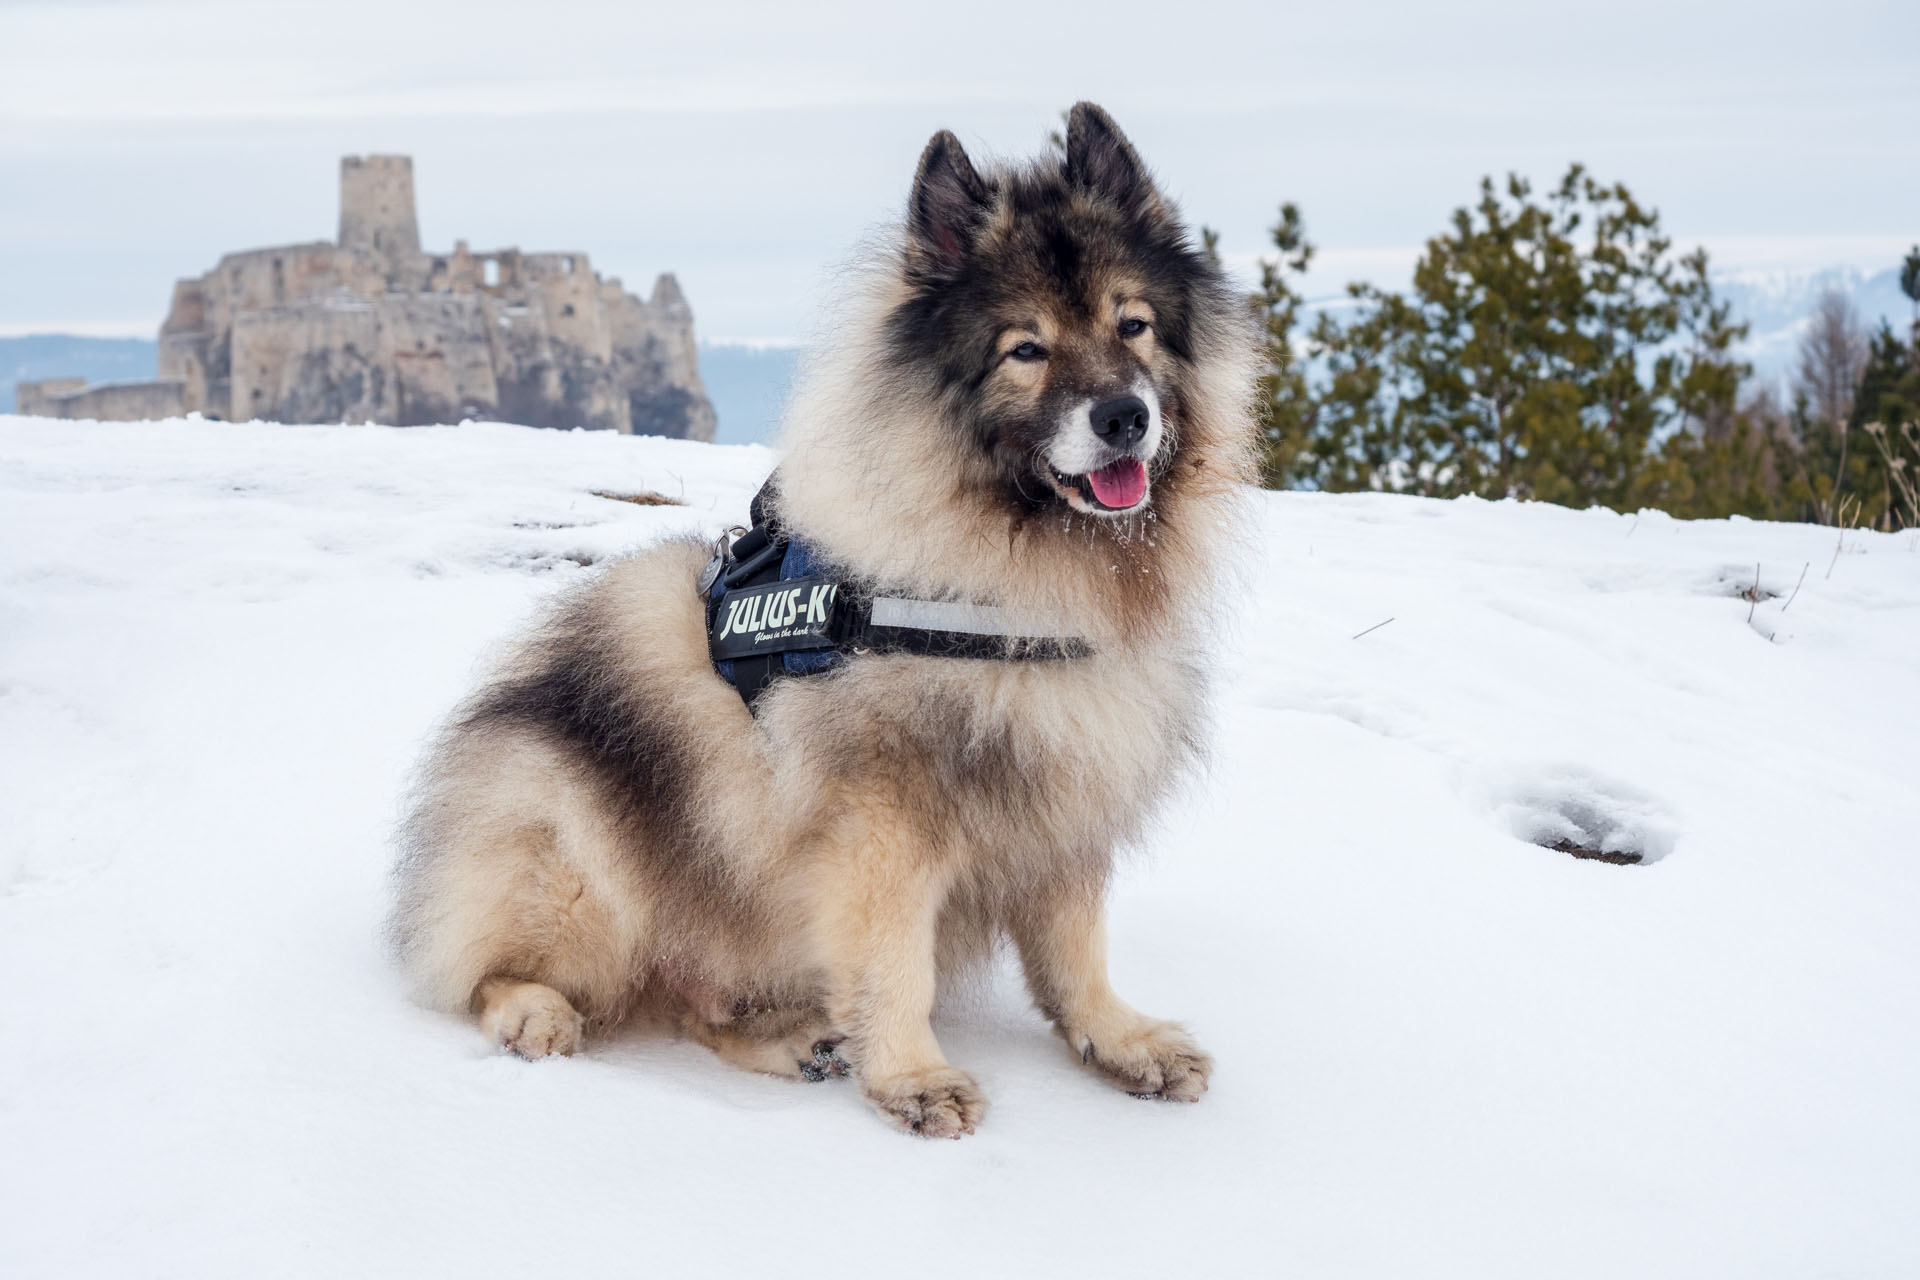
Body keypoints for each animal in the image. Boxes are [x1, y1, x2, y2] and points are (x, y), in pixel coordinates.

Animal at [389, 102, 1259, 1143]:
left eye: (1134, 326)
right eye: (1027, 349)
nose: (1124, 416)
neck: (1018, 582)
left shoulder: (1065, 788)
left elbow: (1075, 948)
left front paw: (1116, 1039)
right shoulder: (884, 819)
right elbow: (892, 962)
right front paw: (914, 1075)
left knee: (698, 1002)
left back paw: (798, 1039)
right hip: (574, 836)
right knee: (504, 972)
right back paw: (535, 1010)